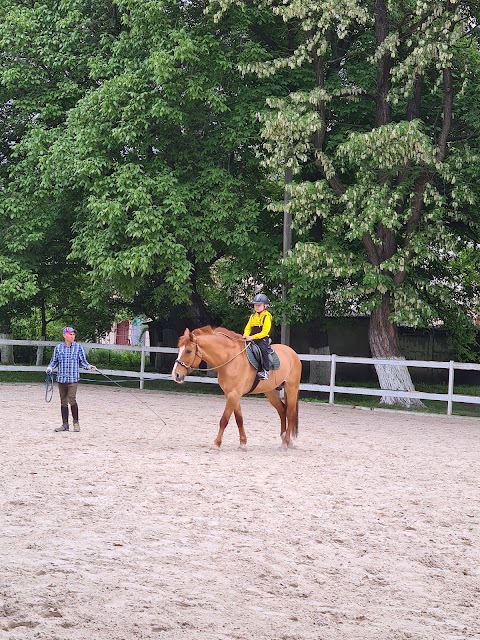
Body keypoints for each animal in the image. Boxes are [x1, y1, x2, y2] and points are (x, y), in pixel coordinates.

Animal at [172, 324, 300, 450]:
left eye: (188, 351)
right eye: (179, 349)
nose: (176, 375)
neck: (230, 359)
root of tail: (292, 353)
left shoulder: (234, 394)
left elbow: (224, 419)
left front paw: (217, 443)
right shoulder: (231, 394)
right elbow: (239, 419)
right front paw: (243, 442)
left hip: (291, 389)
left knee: (290, 413)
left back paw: (286, 442)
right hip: (271, 392)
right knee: (282, 410)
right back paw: (285, 438)